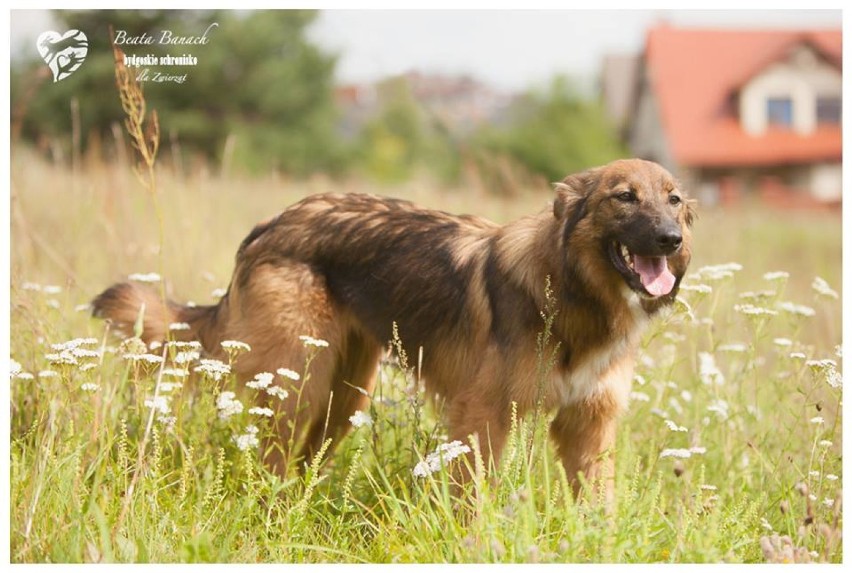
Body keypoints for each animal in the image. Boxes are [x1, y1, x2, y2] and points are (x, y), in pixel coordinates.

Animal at [91, 159, 692, 498]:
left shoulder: (588, 431)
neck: (572, 289)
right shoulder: (483, 420)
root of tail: (271, 224)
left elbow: (599, 509)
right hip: (299, 386)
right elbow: (471, 506)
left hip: (344, 397)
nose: (671, 239)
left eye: (675, 199)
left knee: (303, 462)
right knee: (272, 459)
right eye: (624, 197)